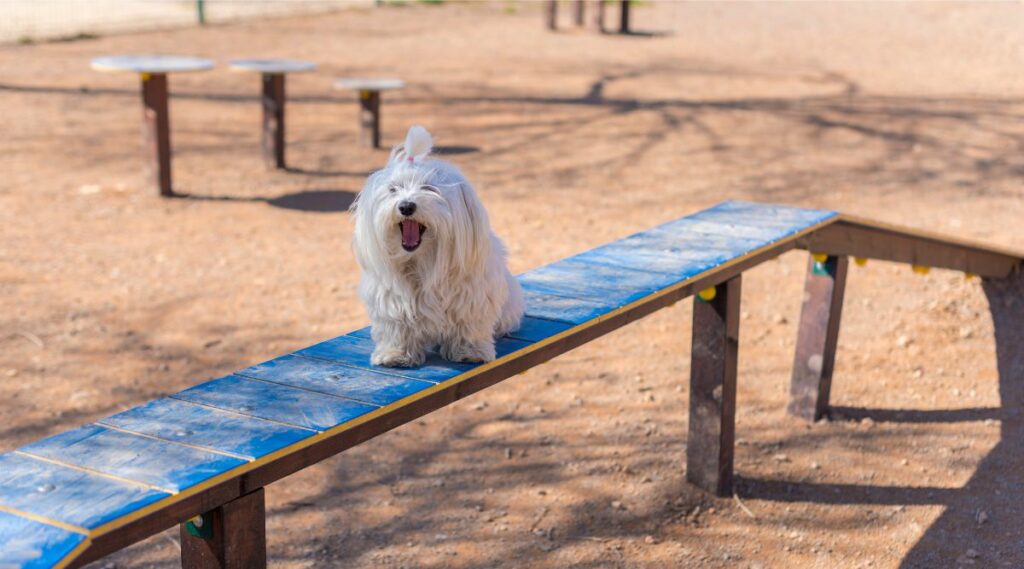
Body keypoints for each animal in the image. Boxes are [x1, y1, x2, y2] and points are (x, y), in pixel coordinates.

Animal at [354, 124, 528, 366]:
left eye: (429, 188)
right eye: (393, 189)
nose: (406, 206)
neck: (422, 261)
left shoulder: (471, 297)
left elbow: (468, 325)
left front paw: (469, 351)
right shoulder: (392, 300)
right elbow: (397, 327)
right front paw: (396, 354)